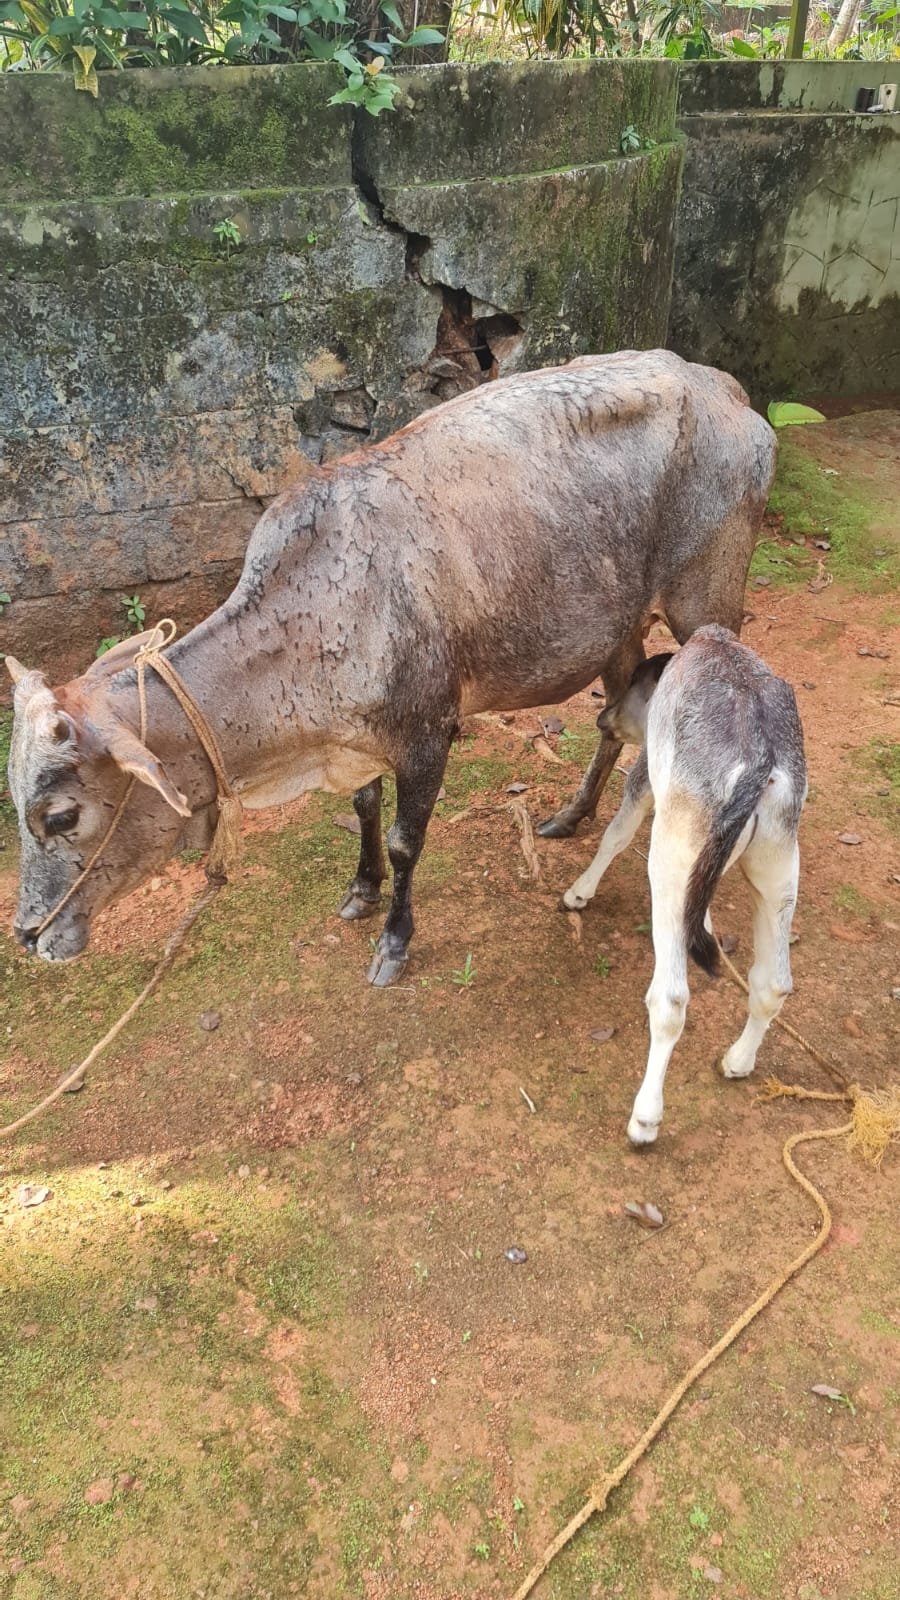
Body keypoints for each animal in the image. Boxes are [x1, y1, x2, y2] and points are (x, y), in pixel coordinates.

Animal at [5, 345, 771, 979]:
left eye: (61, 816)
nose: (29, 934)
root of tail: (725, 387)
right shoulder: (360, 739)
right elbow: (364, 806)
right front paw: (360, 889)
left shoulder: (428, 733)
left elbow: (407, 840)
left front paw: (394, 942)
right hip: (618, 627)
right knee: (614, 718)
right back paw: (570, 815)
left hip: (706, 602)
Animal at [560, 620, 807, 1139]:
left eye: (634, 683)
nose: (603, 717)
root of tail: (761, 760)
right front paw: (708, 923)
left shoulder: (649, 776)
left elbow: (617, 832)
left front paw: (578, 893)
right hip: (779, 862)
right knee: (772, 983)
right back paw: (737, 1061)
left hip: (670, 854)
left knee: (671, 999)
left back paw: (645, 1119)